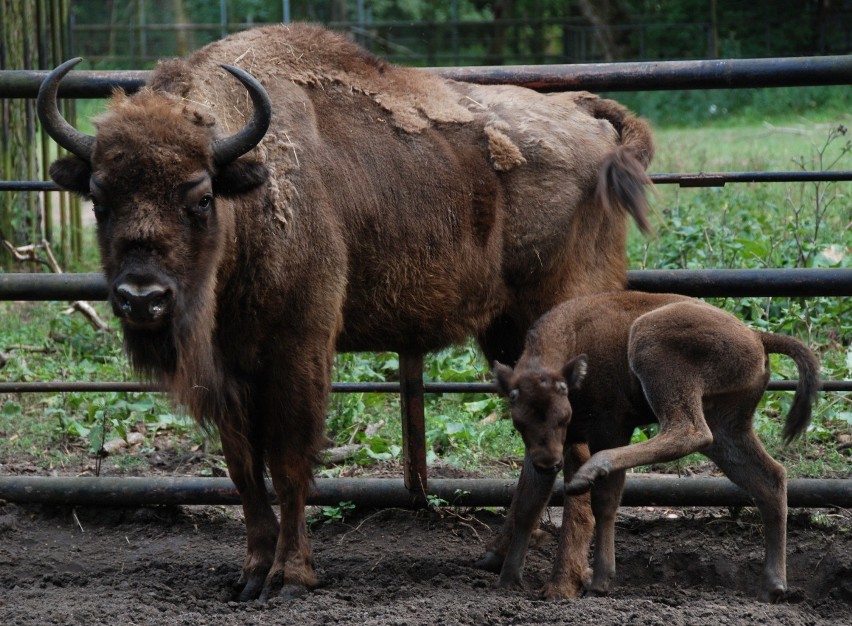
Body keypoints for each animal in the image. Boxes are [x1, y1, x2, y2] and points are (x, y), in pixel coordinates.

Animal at [38, 24, 652, 600]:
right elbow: (243, 471)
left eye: (201, 197)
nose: (142, 297)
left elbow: (289, 465)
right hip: (510, 335)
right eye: (99, 198)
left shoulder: (298, 353)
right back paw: (497, 556)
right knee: (540, 448)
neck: (251, 192)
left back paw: (565, 581)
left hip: (560, 321)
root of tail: (586, 114)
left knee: (575, 450)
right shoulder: (231, 371)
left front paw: (290, 576)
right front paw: (250, 574)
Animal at [480, 290, 820, 604]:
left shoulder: (612, 427)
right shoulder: (543, 450)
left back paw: (592, 470)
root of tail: (756, 336)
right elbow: (528, 504)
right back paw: (772, 586)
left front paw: (601, 580)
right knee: (769, 479)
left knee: (689, 431)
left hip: (654, 352)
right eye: (519, 422)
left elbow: (604, 501)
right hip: (729, 424)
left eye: (565, 416)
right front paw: (507, 580)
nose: (549, 463)